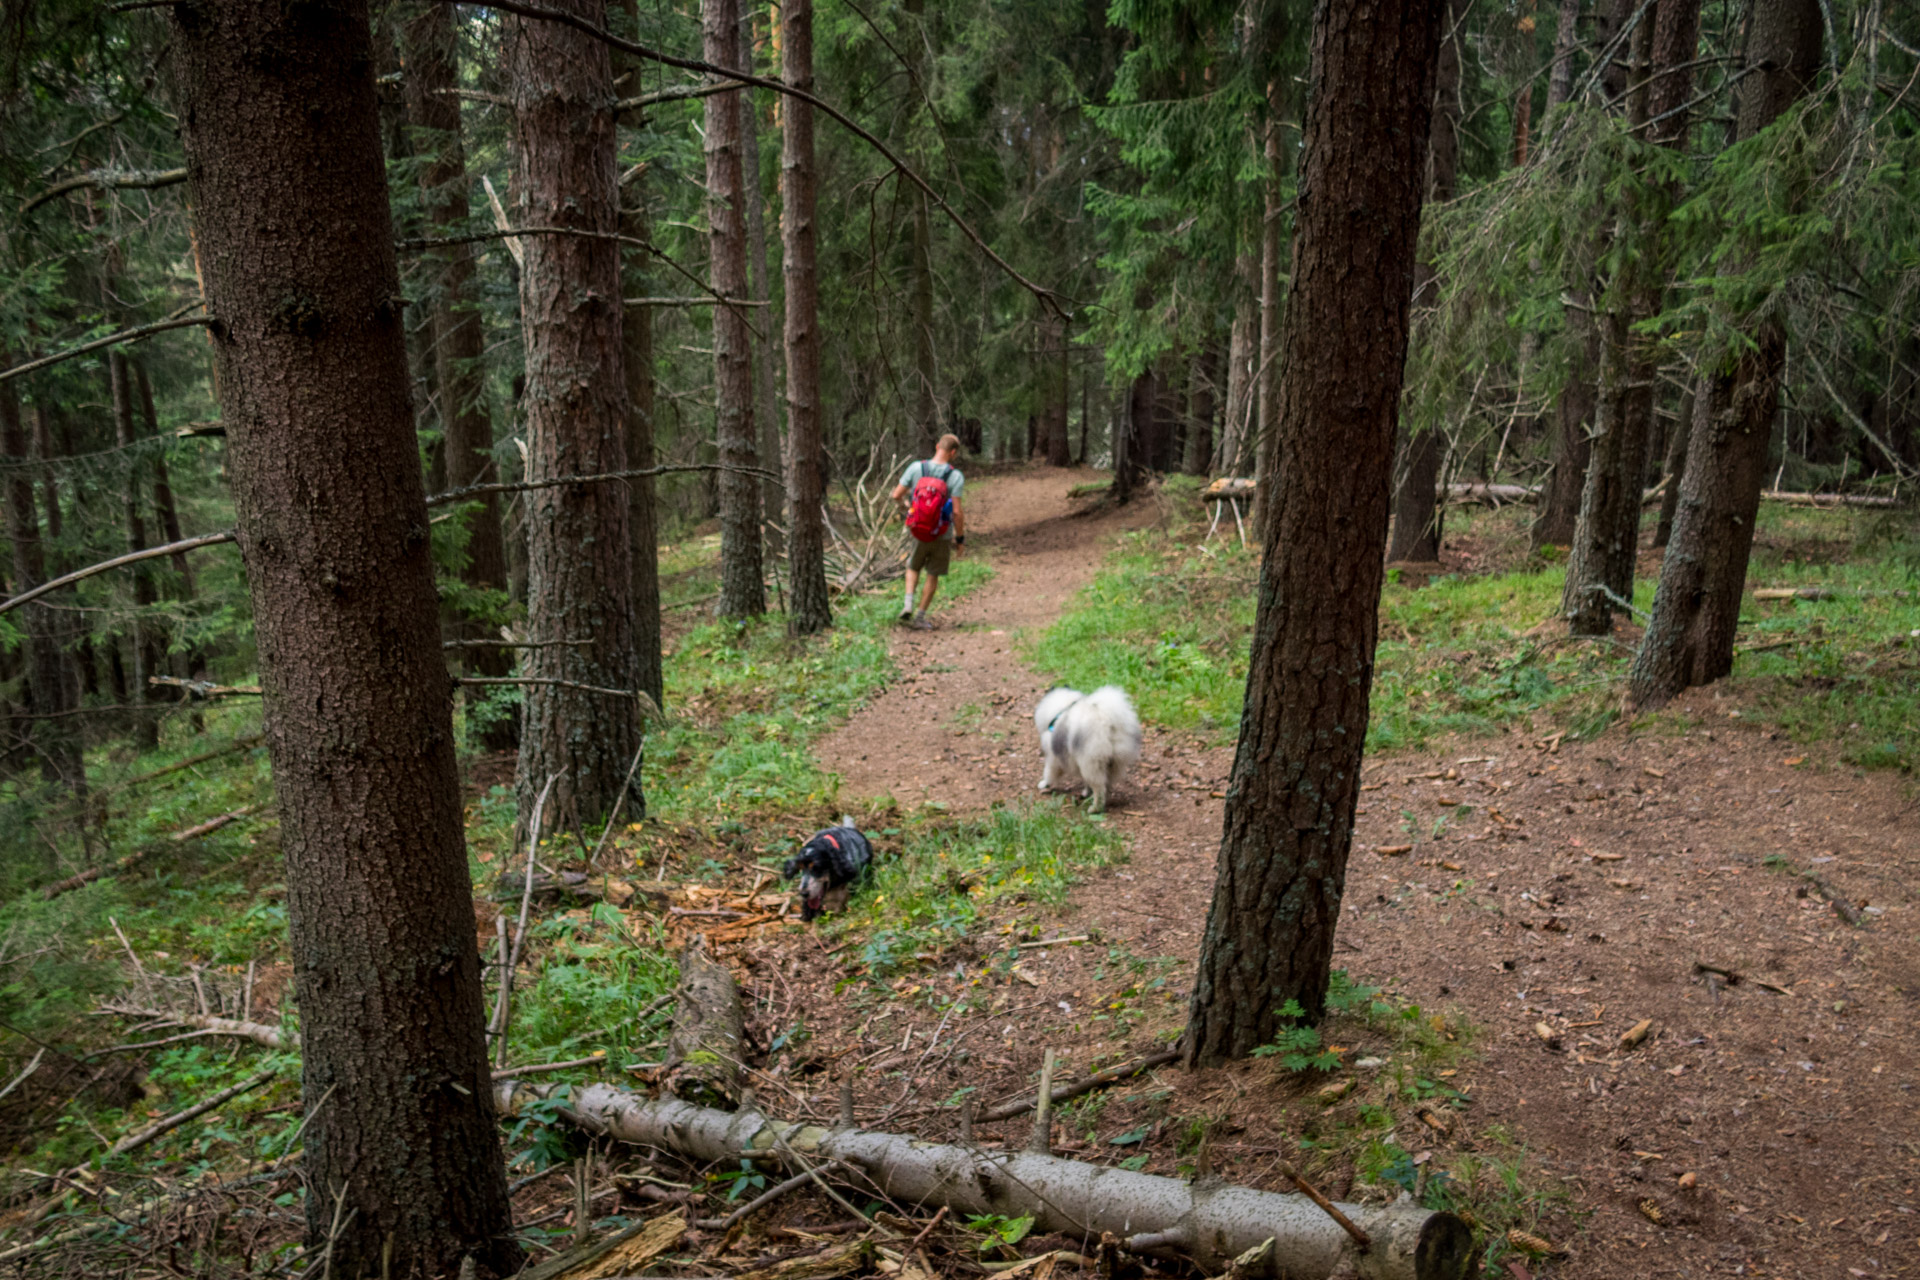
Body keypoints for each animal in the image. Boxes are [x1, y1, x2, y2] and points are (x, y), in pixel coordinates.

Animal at [1036, 687, 1136, 817]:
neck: (1062, 708)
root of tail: (1107, 723)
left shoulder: (1054, 758)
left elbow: (1048, 773)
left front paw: (1044, 784)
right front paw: (1086, 792)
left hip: (1092, 763)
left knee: (1099, 789)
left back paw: (1095, 809)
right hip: (1111, 764)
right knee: (1106, 785)